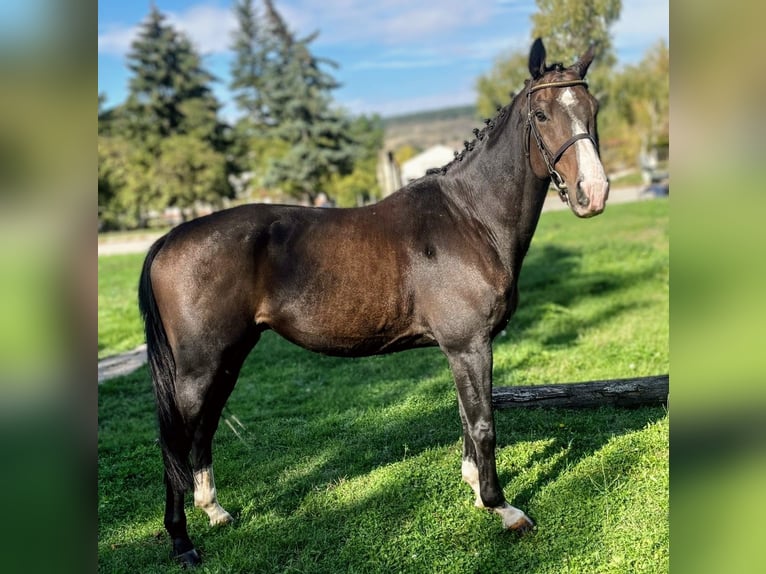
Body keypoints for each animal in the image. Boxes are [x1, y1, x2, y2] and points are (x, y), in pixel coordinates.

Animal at [138, 38, 609, 566]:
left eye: (592, 108)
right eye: (542, 115)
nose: (594, 193)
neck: (469, 218)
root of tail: (170, 238)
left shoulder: (461, 349)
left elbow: (467, 418)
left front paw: (473, 489)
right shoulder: (469, 345)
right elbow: (484, 423)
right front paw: (501, 508)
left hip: (226, 359)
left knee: (202, 430)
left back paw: (214, 511)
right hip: (199, 368)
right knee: (175, 441)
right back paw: (181, 541)